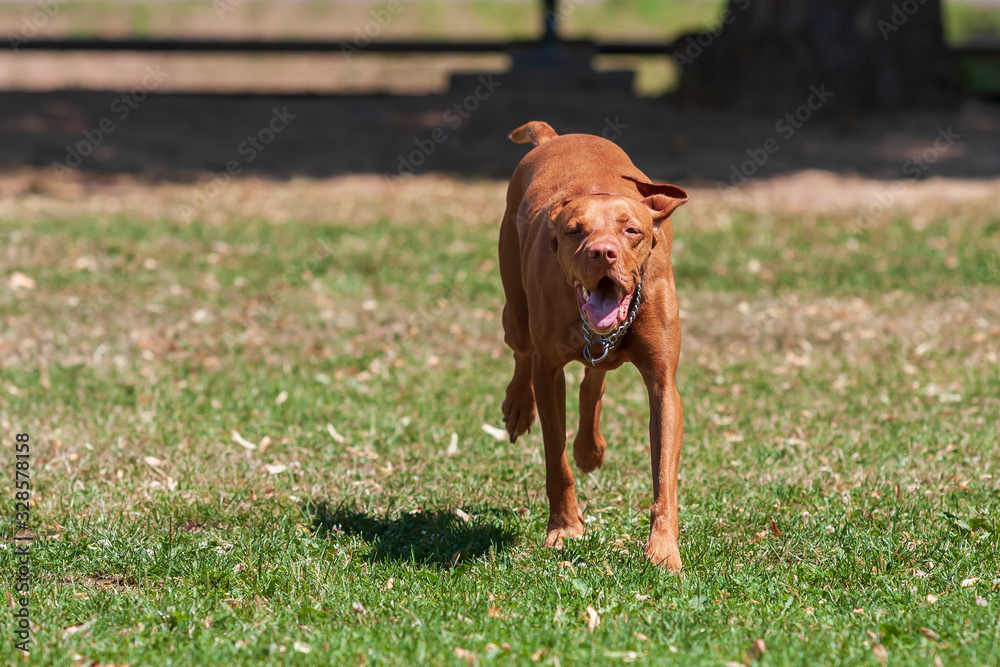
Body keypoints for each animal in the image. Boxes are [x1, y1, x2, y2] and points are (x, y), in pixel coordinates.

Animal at [498, 120, 688, 568]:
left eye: (631, 230)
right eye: (575, 231)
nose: (603, 252)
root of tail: (554, 136)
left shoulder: (663, 385)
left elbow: (664, 479)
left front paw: (663, 548)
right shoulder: (548, 371)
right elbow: (557, 461)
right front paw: (565, 527)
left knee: (594, 378)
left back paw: (589, 448)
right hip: (515, 309)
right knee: (522, 349)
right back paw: (519, 406)